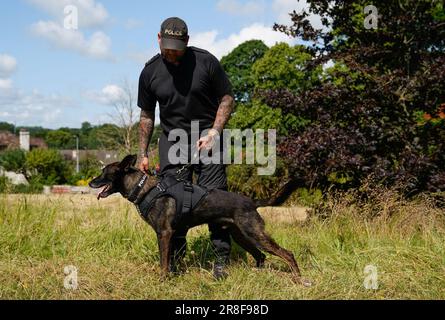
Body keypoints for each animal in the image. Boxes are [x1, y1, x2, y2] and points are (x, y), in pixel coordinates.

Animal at [89, 155, 312, 288]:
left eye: (103, 173)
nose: (91, 182)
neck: (143, 188)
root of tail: (252, 202)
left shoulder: (164, 233)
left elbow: (163, 262)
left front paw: (162, 281)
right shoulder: (172, 235)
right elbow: (170, 259)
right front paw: (171, 276)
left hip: (255, 234)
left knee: (287, 253)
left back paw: (297, 278)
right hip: (242, 236)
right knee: (260, 256)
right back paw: (258, 275)